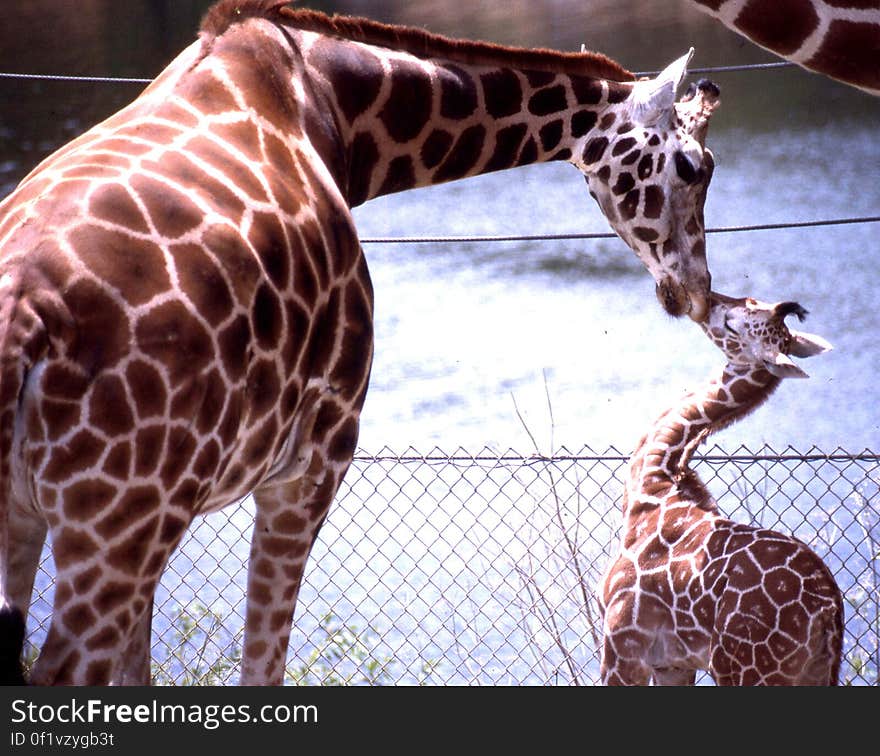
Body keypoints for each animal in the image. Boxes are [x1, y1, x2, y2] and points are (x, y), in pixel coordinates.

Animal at [600, 292, 844, 688]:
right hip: (815, 672)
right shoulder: (672, 663)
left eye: (733, 324)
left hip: (745, 668)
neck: (651, 488)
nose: (709, 300)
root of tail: (828, 610)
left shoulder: (622, 641)